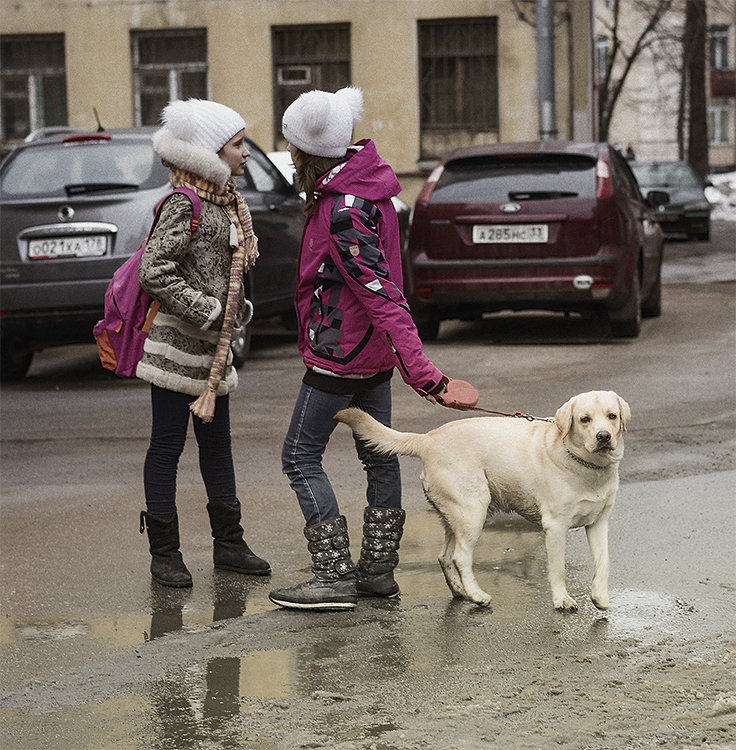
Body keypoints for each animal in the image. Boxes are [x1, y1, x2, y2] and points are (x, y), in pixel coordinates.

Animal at [336, 390, 628, 612]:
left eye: (612, 416)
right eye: (584, 419)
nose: (604, 436)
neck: (587, 465)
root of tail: (427, 440)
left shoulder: (599, 523)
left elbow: (604, 561)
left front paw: (600, 597)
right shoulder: (555, 527)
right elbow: (557, 568)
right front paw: (562, 600)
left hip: (457, 515)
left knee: (444, 556)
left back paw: (461, 591)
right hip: (473, 510)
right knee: (460, 557)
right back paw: (477, 595)